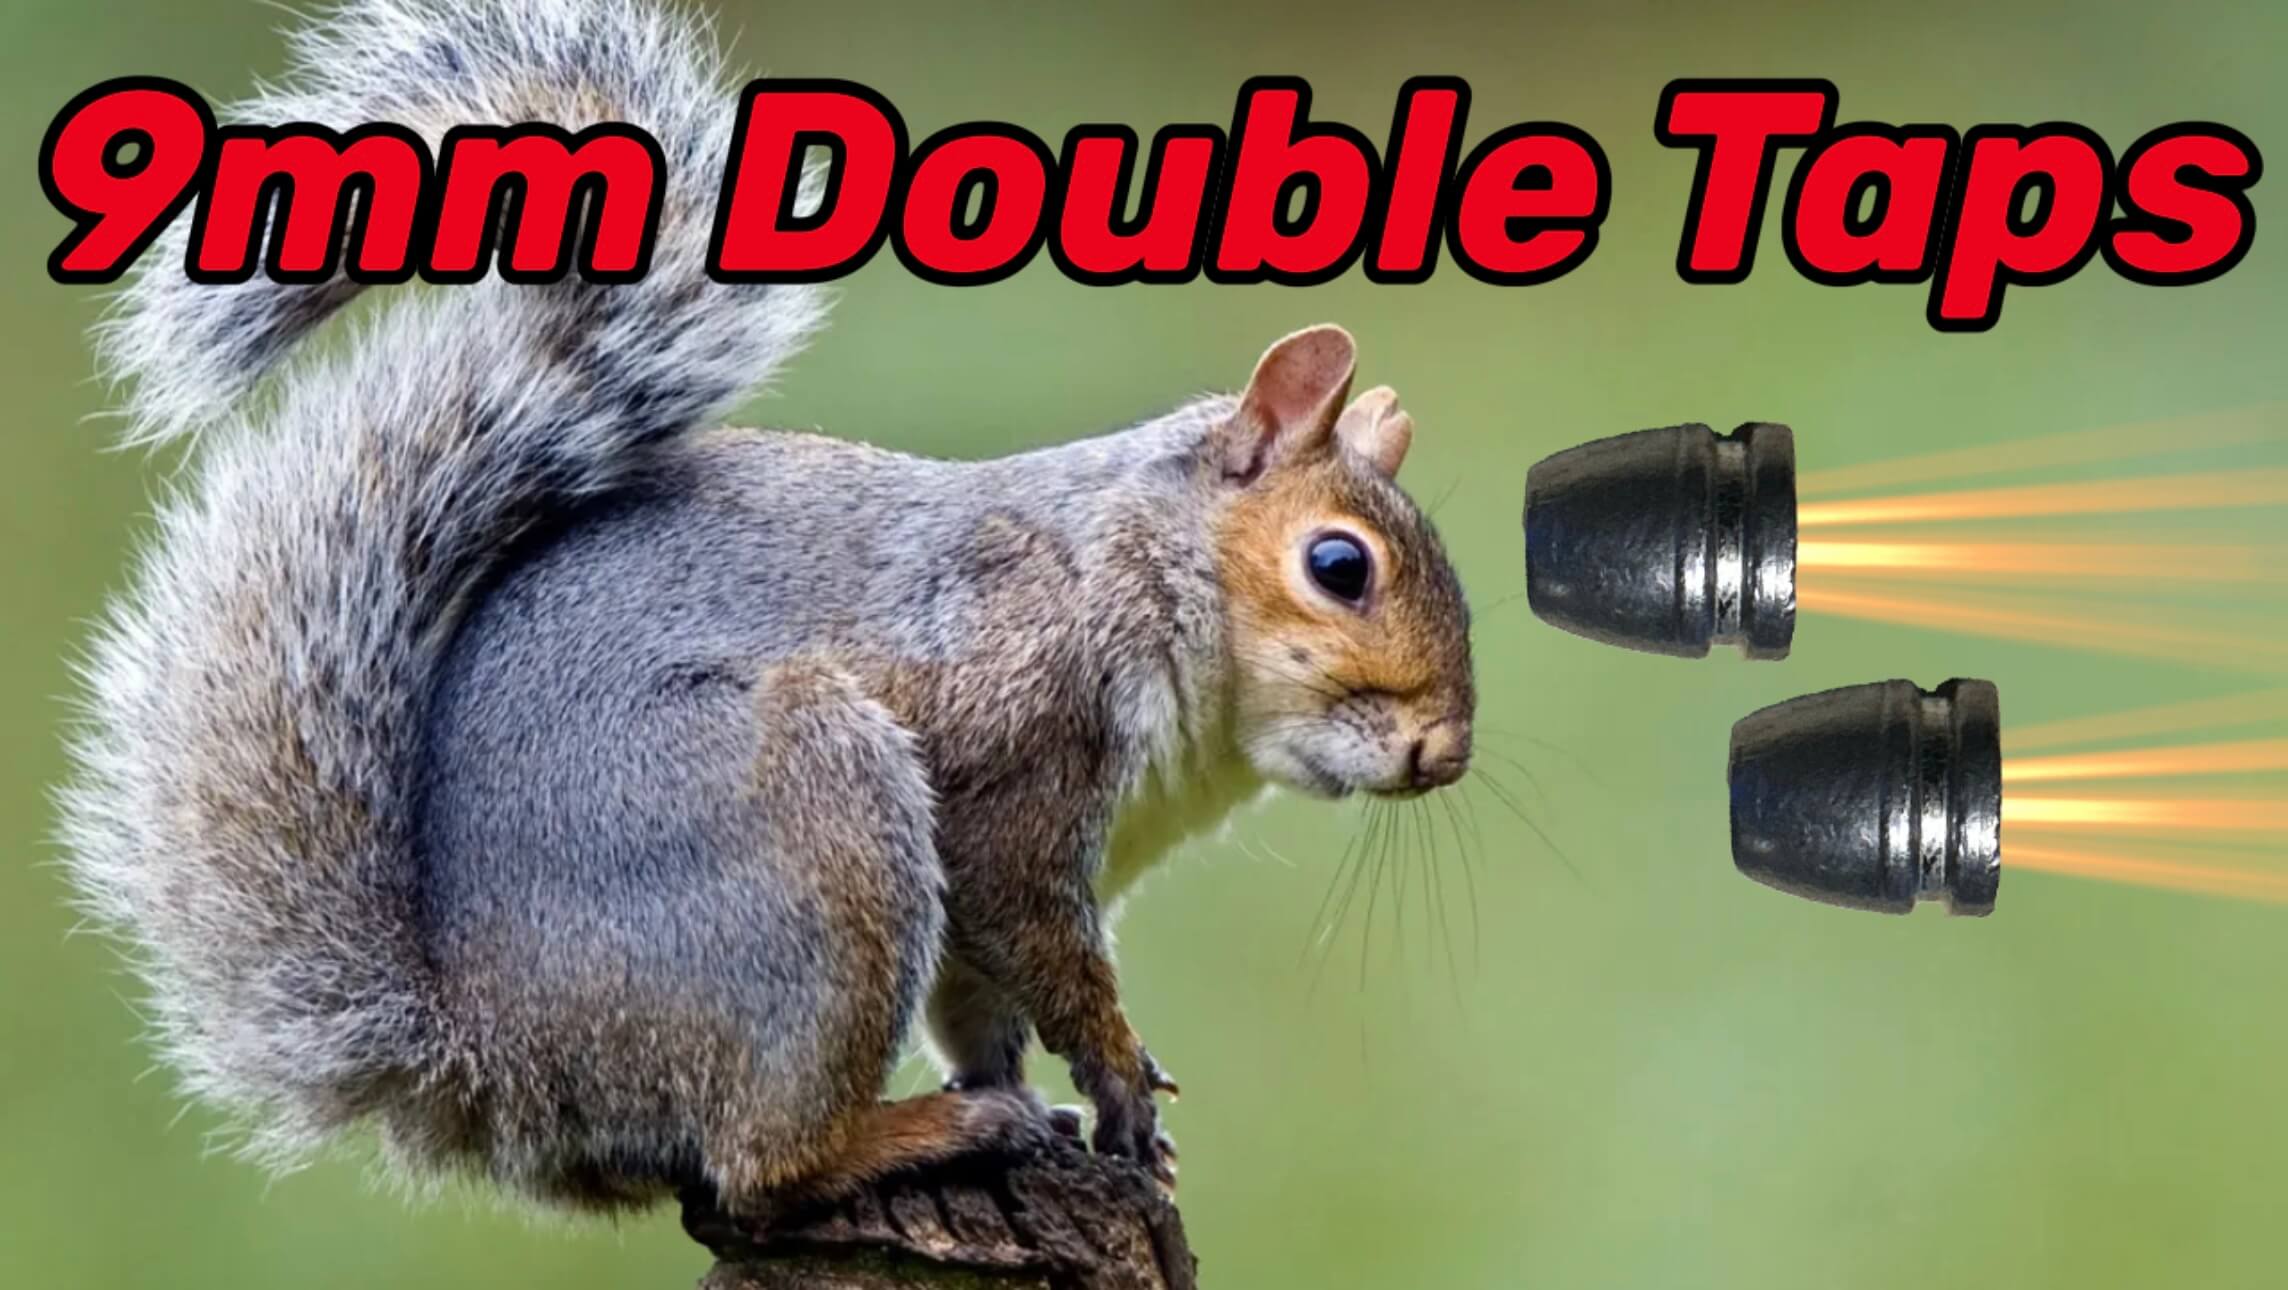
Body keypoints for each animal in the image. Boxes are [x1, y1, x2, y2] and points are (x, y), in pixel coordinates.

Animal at [59, 0, 1475, 1221]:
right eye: (1338, 566)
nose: (1442, 751)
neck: (1135, 569)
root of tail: (493, 1065)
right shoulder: (1012, 752)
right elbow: (1044, 950)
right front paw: (1115, 1081)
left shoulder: (1009, 896)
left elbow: (980, 1001)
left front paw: (1061, 1092)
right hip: (810, 830)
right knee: (759, 1167)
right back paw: (921, 1132)